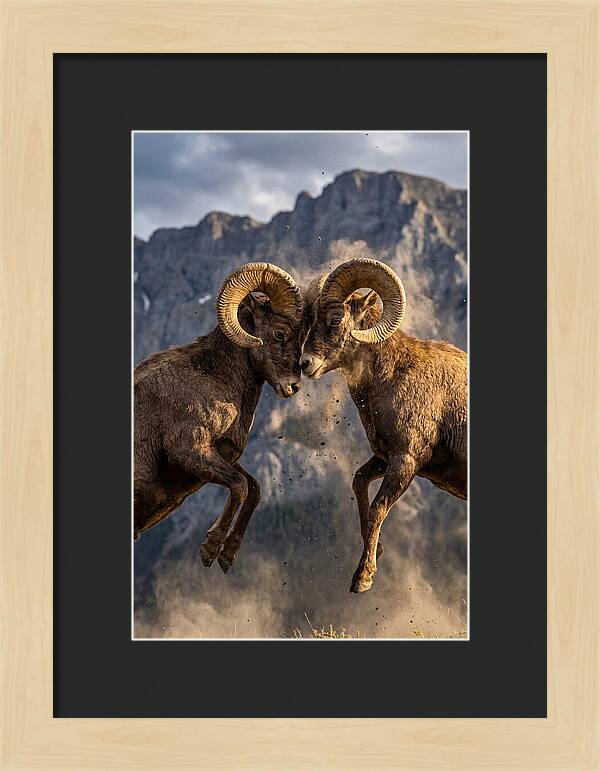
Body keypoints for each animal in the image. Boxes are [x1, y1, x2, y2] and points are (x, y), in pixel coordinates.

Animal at [134, 262, 304, 573]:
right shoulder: (190, 451)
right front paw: (210, 549)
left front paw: (227, 556)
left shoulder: (222, 455)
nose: (293, 386)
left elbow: (254, 488)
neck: (213, 378)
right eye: (278, 333)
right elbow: (239, 486)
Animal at [300, 258, 467, 593]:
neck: (393, 376)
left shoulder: (405, 461)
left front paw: (363, 578)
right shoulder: (383, 457)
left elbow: (379, 507)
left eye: (336, 319)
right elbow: (359, 482)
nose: (305, 364)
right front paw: (376, 551)